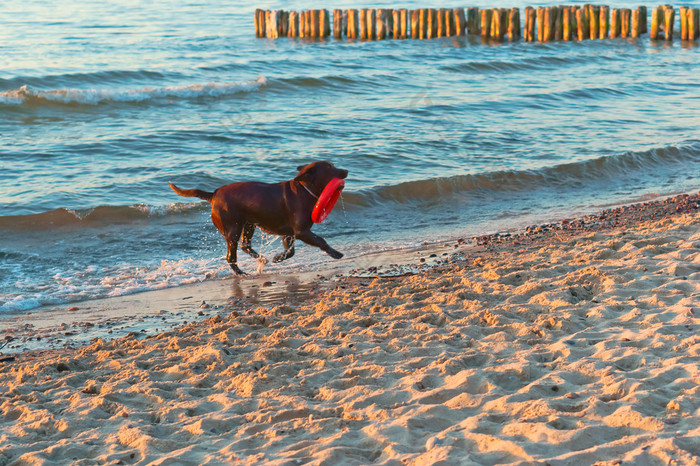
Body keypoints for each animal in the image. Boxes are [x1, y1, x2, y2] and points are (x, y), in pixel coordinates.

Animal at [171, 162, 348, 274]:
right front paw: (336, 253)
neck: (305, 190)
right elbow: (321, 241)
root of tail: (213, 195)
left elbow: (290, 251)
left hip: (249, 224)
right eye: (329, 167)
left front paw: (278, 258)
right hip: (233, 230)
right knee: (231, 256)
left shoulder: (289, 233)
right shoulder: (301, 231)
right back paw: (241, 273)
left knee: (245, 246)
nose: (346, 171)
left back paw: (262, 259)